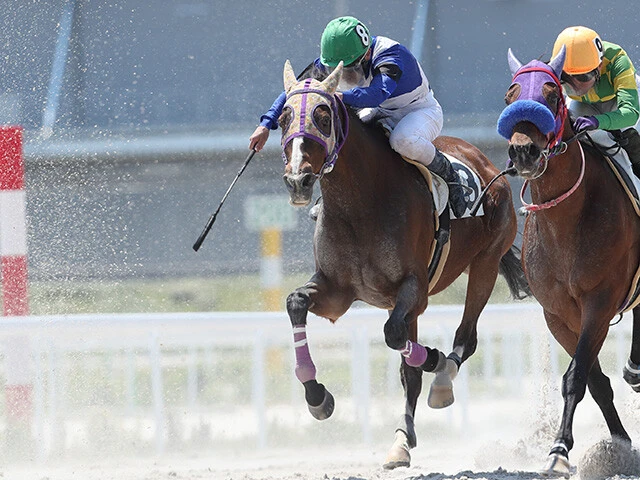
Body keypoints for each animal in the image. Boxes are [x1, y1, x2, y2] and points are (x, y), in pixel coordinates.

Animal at [280, 60, 529, 468]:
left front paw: (435, 360)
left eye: (323, 116)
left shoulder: (414, 288)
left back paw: (441, 379)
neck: (360, 203)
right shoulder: (337, 292)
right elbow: (296, 302)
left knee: (466, 338)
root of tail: (482, 160)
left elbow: (397, 339)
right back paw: (401, 440)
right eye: (284, 117)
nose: (298, 179)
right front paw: (318, 397)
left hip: (486, 263)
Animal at [498, 46, 640, 477]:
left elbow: (577, 376)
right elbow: (592, 381)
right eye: (510, 97)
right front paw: (618, 444)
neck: (565, 223)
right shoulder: (559, 314)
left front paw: (560, 449)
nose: (523, 151)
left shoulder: (599, 302)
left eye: (551, 95)